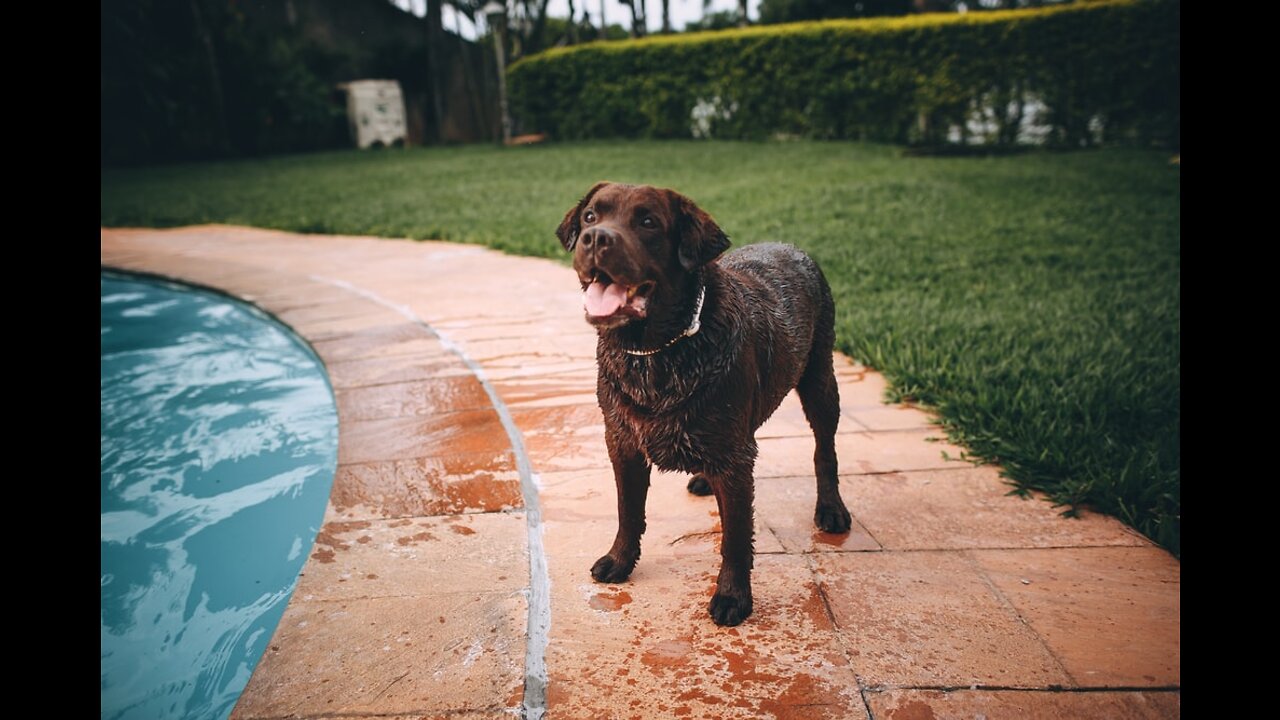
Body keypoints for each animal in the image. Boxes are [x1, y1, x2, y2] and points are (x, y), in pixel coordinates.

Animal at [558, 180, 849, 622]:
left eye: (648, 222)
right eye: (591, 216)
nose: (595, 238)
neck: (656, 353)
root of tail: (789, 245)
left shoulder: (735, 458)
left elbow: (736, 537)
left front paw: (733, 596)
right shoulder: (622, 441)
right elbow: (628, 511)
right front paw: (620, 561)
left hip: (820, 379)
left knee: (825, 449)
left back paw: (831, 508)